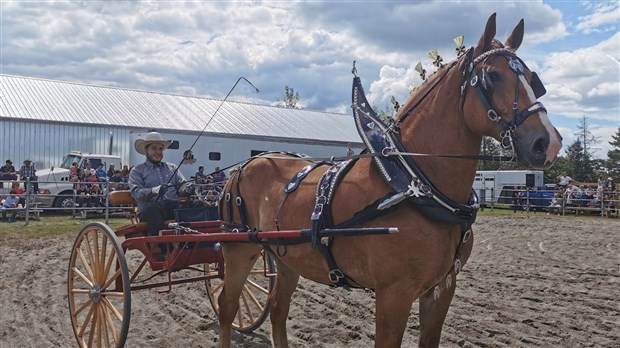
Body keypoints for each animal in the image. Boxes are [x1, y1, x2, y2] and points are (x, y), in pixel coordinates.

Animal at [216, 12, 560, 348]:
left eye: (533, 79)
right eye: (493, 76)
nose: (548, 143)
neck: (415, 185)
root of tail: (243, 167)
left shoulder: (442, 287)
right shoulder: (394, 293)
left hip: (286, 258)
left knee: (277, 309)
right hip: (239, 252)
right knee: (227, 307)